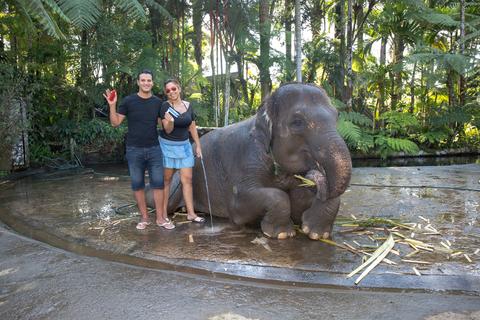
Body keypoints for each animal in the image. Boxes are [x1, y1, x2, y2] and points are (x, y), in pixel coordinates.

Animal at [149, 83, 352, 240]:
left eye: (337, 116)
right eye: (297, 122)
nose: (316, 175)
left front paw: (316, 233)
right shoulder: (248, 158)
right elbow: (243, 203)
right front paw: (281, 234)